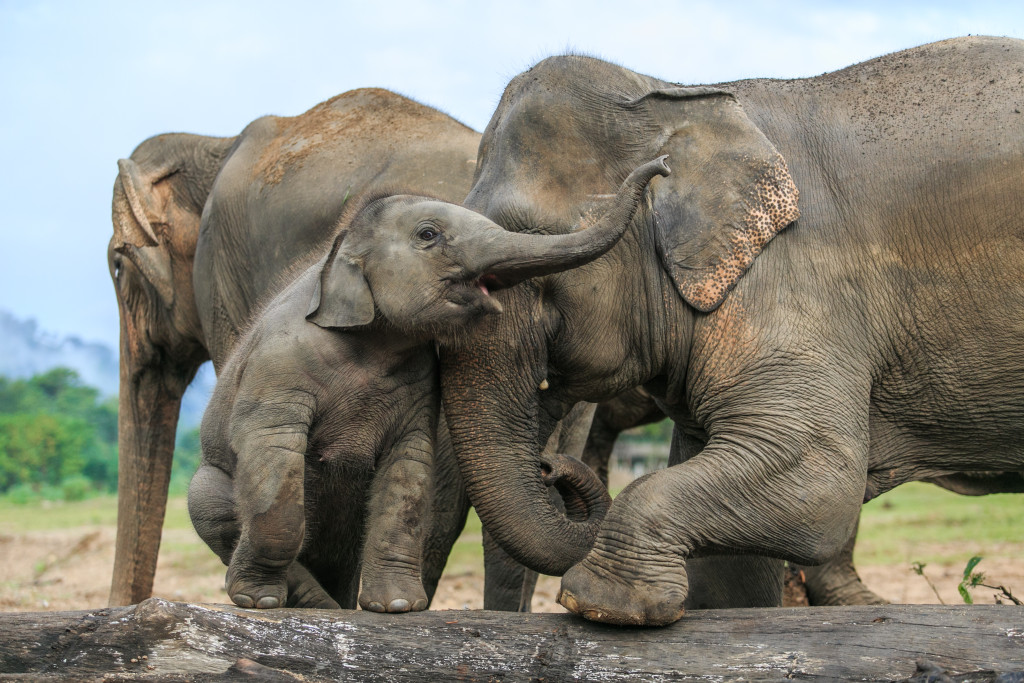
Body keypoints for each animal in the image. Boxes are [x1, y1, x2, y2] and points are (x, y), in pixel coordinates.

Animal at [309, 37, 1024, 626]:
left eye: (537, 249)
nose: (551, 465)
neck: (677, 94)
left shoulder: (797, 282)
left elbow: (819, 479)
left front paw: (602, 604)